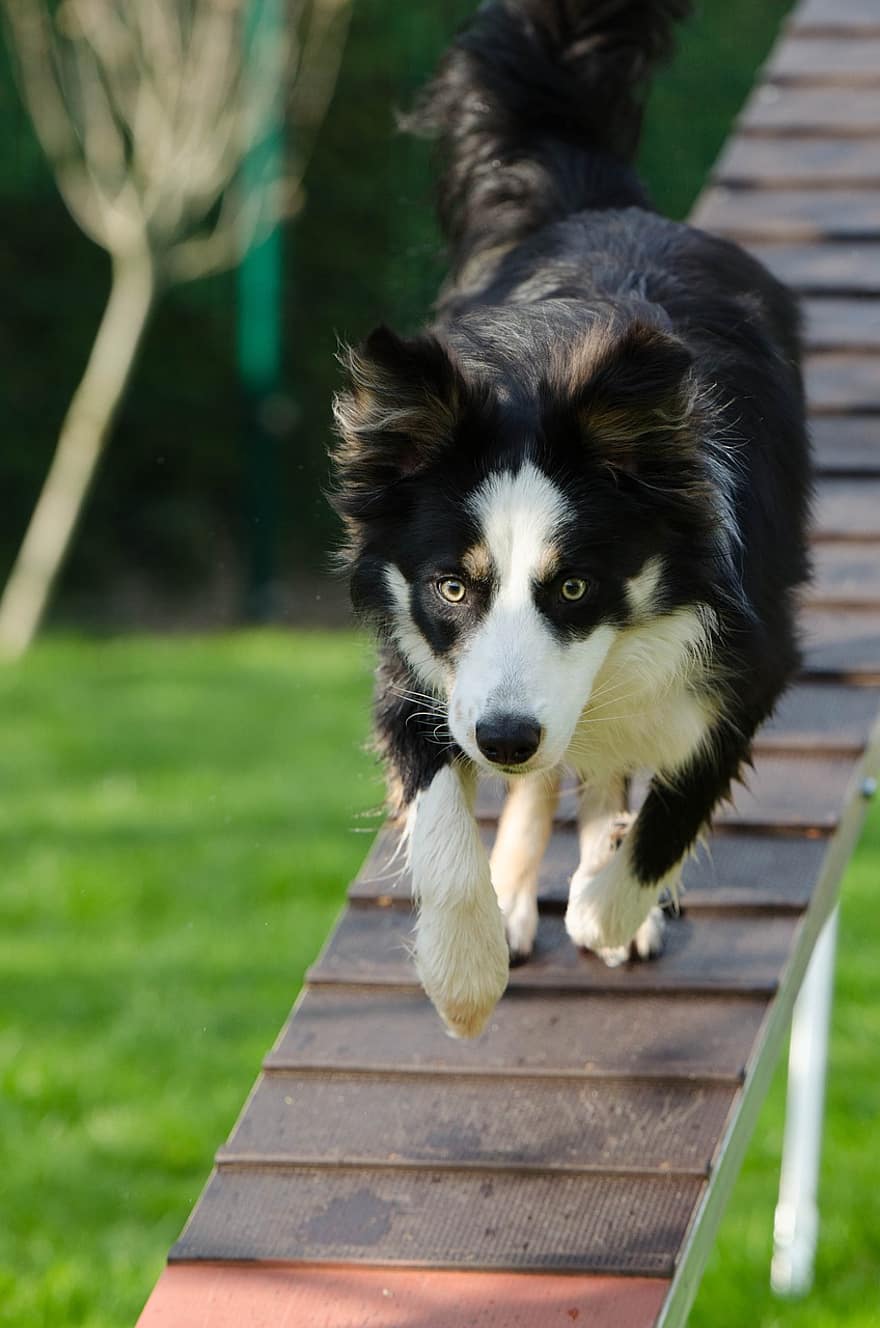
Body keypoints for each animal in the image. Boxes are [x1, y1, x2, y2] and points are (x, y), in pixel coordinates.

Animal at [331, 0, 812, 1035]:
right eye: (452, 587)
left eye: (577, 586)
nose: (505, 739)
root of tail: (601, 203)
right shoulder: (423, 660)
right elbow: (440, 805)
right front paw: (465, 973)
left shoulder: (748, 650)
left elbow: (677, 799)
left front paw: (605, 902)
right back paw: (517, 894)